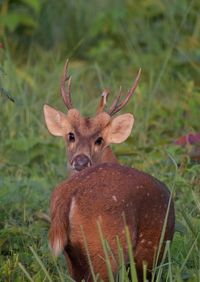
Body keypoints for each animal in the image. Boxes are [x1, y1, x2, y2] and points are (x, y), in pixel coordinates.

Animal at [44, 62, 175, 282]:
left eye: (100, 140)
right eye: (70, 135)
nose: (81, 160)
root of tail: (70, 193)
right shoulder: (151, 255)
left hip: (74, 257)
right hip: (106, 248)